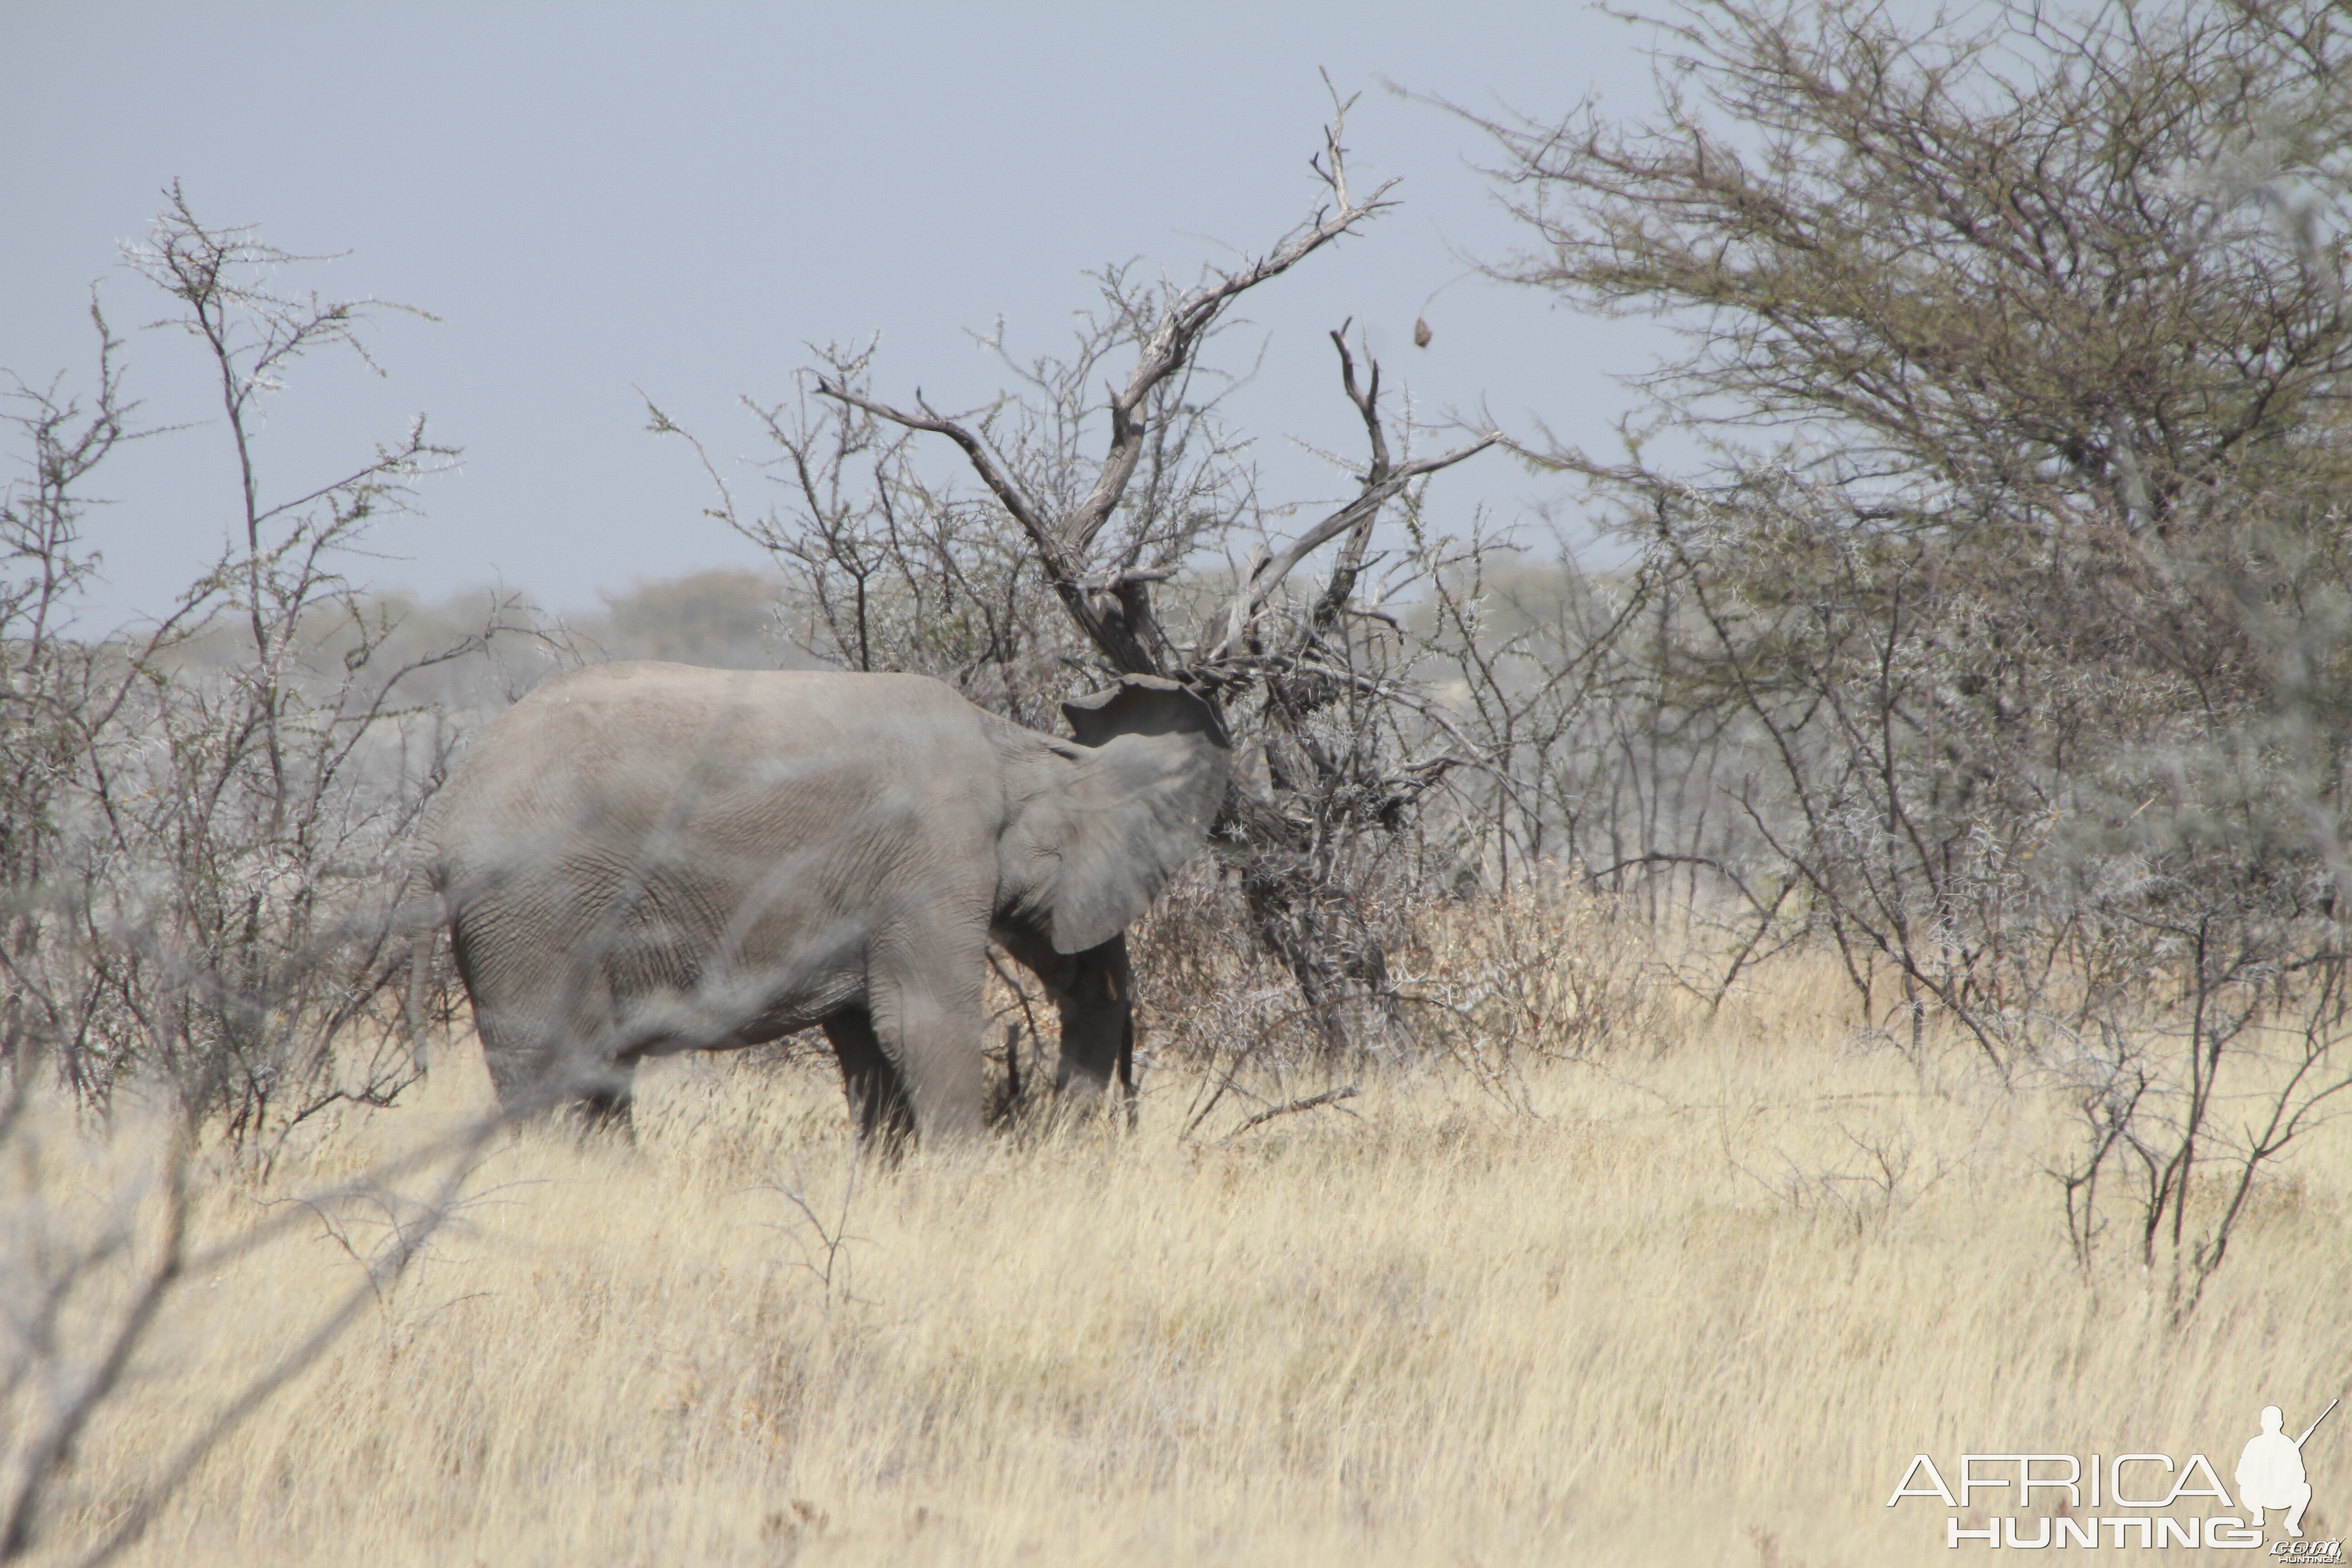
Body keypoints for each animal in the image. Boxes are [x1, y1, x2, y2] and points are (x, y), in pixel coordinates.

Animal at [423, 658, 1232, 1147]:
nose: (1060, 1134)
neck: (1018, 746)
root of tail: (452, 799)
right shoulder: (929, 856)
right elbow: (920, 1024)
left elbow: (869, 1043)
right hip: (532, 913)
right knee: (555, 1069)